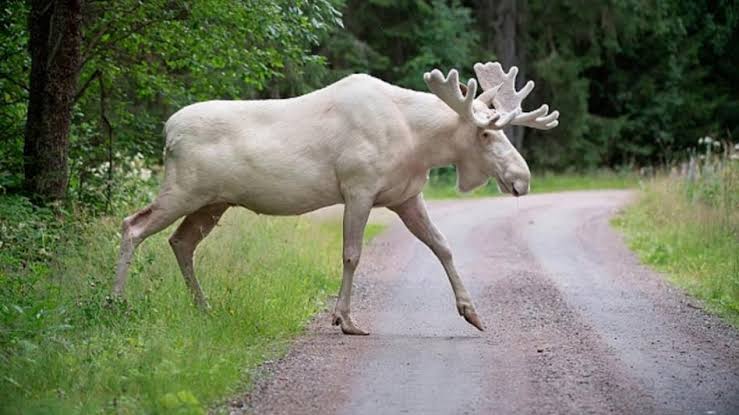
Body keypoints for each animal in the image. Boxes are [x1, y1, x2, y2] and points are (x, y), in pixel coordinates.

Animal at [112, 62, 559, 335]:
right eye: (485, 133)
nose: (522, 179)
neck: (419, 142)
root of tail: (167, 131)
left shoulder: (405, 196)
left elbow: (443, 246)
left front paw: (472, 312)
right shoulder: (358, 188)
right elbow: (352, 254)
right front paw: (345, 319)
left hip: (213, 202)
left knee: (180, 241)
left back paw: (203, 307)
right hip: (184, 189)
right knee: (132, 225)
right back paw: (116, 301)